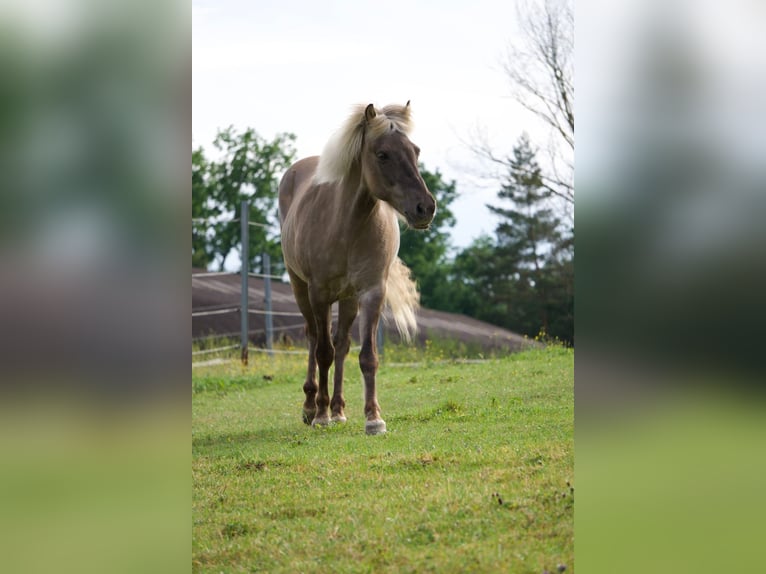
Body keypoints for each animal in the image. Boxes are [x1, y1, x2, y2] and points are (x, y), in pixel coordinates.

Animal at [278, 101, 436, 435]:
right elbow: (323, 352)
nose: (425, 207)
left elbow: (366, 356)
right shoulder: (319, 293)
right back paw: (312, 407)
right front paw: (321, 415)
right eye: (383, 154)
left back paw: (338, 409)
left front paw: (373, 418)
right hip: (301, 288)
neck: (347, 225)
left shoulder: (372, 292)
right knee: (314, 338)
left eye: (415, 150)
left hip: (349, 298)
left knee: (341, 345)